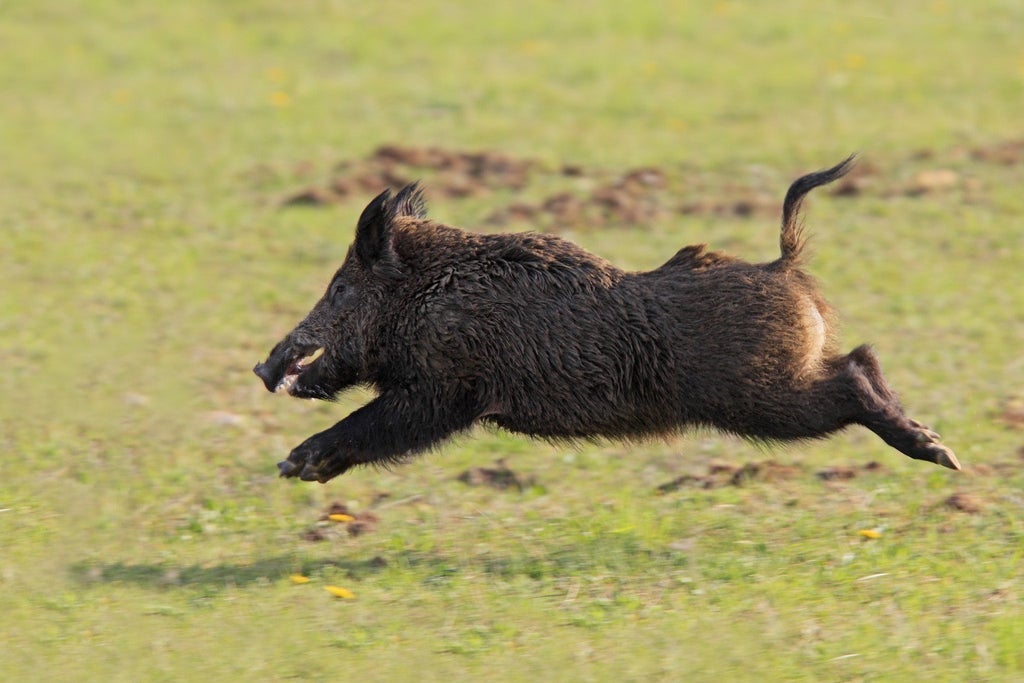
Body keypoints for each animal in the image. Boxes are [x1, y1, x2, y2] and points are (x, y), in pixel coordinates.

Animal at [254, 156, 959, 483]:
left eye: (341, 287)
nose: (264, 367)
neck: (430, 296)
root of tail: (784, 264)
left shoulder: (445, 391)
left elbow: (376, 423)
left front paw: (294, 465)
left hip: (769, 397)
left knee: (855, 374)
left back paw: (943, 455)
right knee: (862, 358)